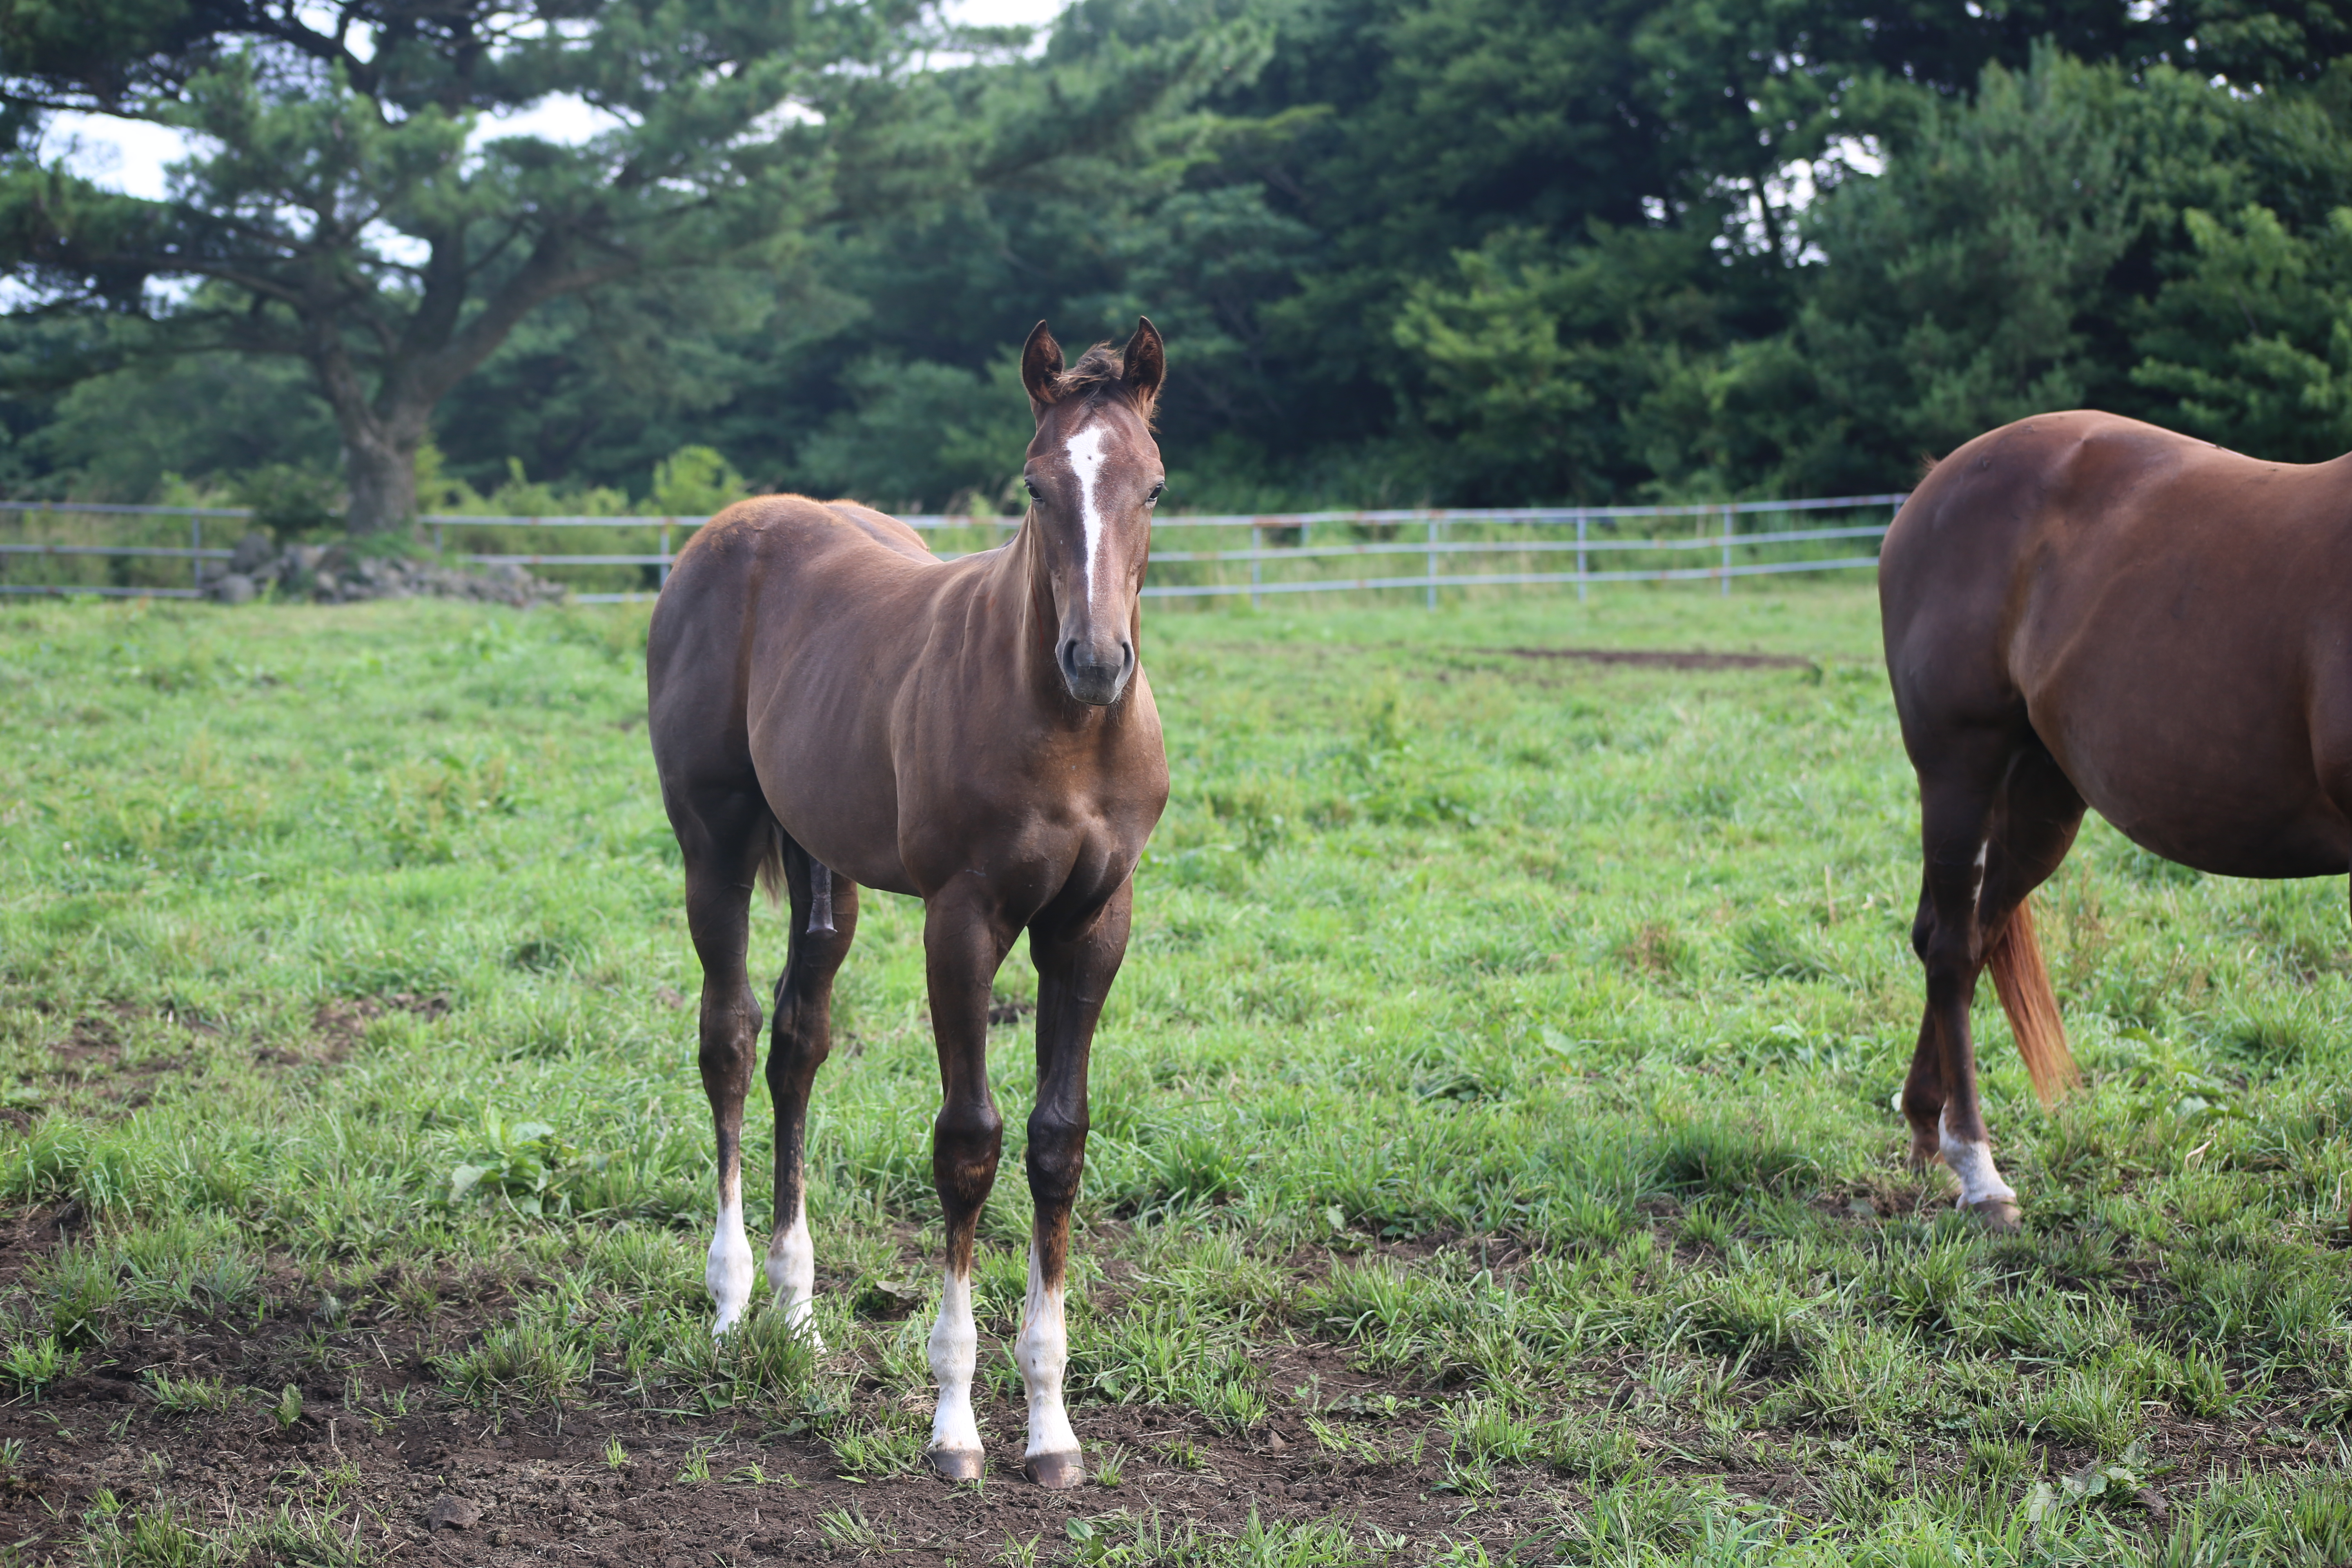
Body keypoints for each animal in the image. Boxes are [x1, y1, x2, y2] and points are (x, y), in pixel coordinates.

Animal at [649, 315, 1171, 1486]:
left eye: (1154, 486)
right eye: (1033, 484)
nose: (1096, 659)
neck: (1066, 731)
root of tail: (729, 529)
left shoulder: (1093, 925)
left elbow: (1058, 1141)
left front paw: (1051, 1427)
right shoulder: (962, 918)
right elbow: (968, 1142)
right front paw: (955, 1423)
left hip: (823, 861)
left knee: (799, 1040)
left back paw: (796, 1315)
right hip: (714, 843)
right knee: (730, 1035)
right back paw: (731, 1300)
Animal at [1882, 411, 2352, 1222]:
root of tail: (1938, 482)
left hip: (2040, 800)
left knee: (1967, 936)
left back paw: (1924, 1122)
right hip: (1958, 772)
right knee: (1950, 952)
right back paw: (1978, 1169)